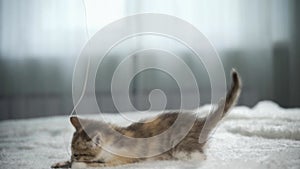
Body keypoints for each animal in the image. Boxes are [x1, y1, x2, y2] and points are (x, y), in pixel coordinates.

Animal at [51, 69, 241, 168]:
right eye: (72, 154)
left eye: (77, 154)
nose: (72, 159)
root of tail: (200, 123)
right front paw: (61, 163)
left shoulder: (123, 159)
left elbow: (97, 165)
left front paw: (78, 165)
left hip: (182, 149)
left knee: (199, 156)